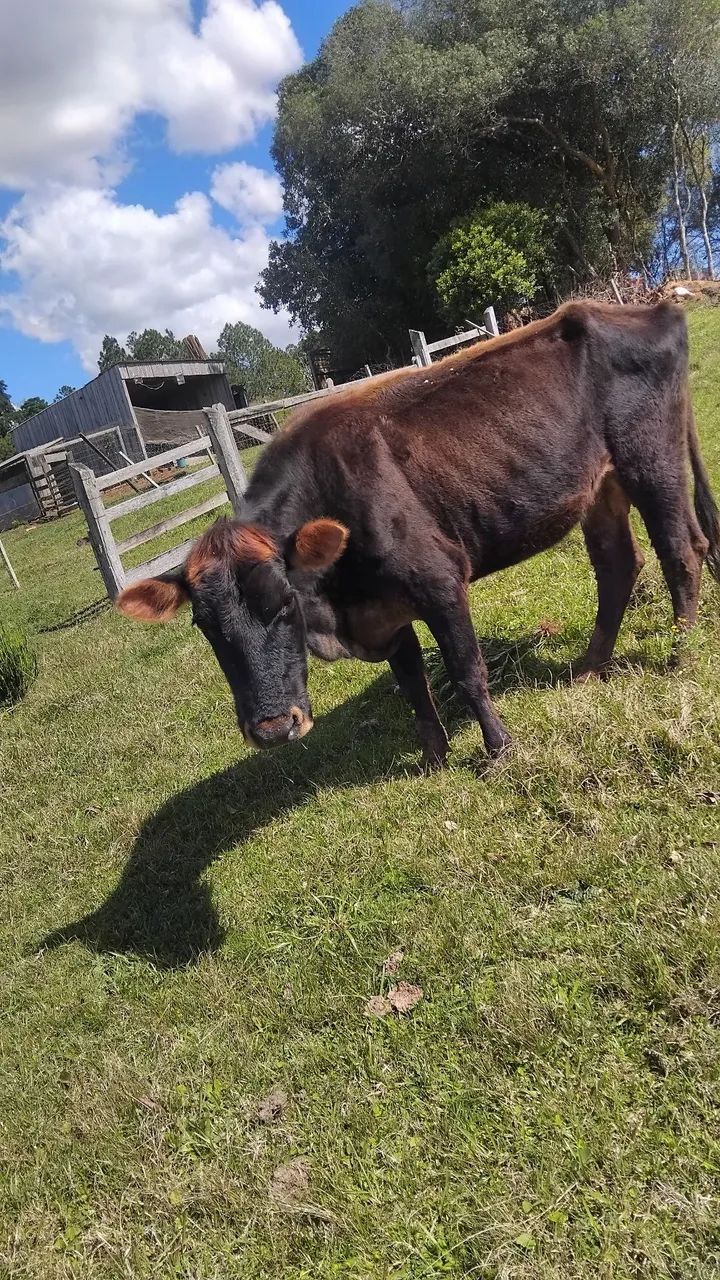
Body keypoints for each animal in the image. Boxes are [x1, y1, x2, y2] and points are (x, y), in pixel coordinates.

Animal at [117, 300, 720, 769]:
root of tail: (648, 308)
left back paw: (680, 657)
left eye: (284, 602)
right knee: (618, 565)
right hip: (598, 487)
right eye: (205, 625)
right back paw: (589, 668)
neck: (340, 607)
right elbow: (412, 684)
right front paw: (433, 756)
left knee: (682, 551)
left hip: (651, 460)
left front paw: (498, 750)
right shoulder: (385, 609)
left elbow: (465, 671)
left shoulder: (439, 581)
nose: (272, 729)